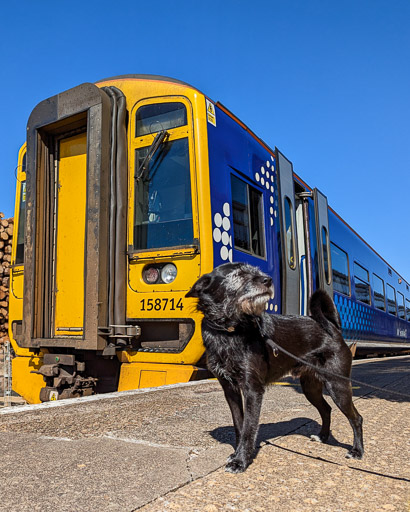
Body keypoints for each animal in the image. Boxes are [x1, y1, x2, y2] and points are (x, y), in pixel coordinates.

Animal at [187, 264, 364, 472]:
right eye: (238, 274)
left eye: (255, 271)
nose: (268, 280)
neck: (230, 330)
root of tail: (332, 327)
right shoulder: (230, 390)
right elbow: (239, 425)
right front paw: (237, 453)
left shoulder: (253, 390)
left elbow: (249, 428)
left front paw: (241, 461)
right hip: (310, 387)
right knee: (327, 409)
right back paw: (322, 437)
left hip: (338, 385)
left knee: (356, 418)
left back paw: (357, 451)